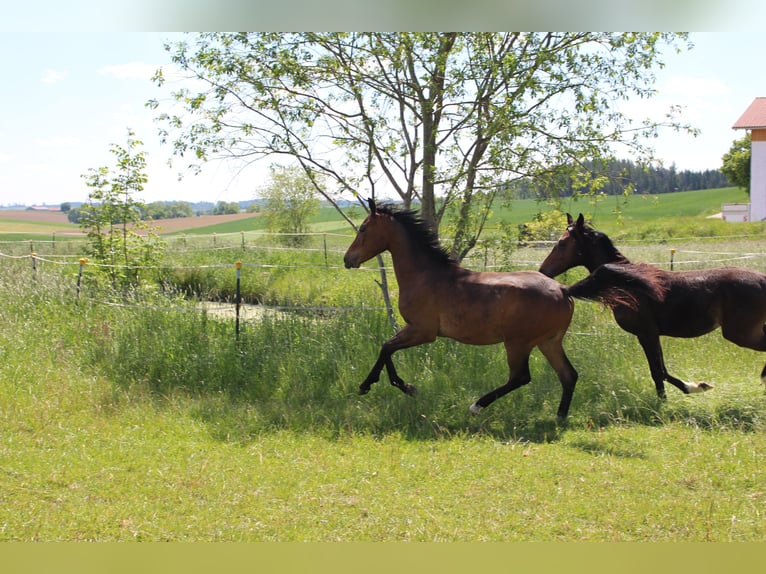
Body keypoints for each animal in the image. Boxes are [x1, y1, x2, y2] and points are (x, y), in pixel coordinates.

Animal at [343, 200, 665, 421]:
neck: (426, 276)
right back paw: (559, 417)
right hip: (549, 342)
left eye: (364, 229)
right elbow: (387, 349)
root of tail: (563, 290)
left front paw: (384, 386)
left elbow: (386, 348)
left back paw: (476, 406)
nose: (348, 259)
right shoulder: (417, 332)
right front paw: (387, 386)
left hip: (518, 343)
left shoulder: (422, 331)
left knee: (520, 377)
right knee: (568, 375)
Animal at [539, 213, 766, 399]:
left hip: (740, 334)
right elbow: (662, 371)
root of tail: (763, 279)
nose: (543, 270)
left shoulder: (646, 333)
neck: (628, 283)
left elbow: (658, 372)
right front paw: (691, 389)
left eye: (561, 243)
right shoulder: (653, 335)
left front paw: (670, 399)